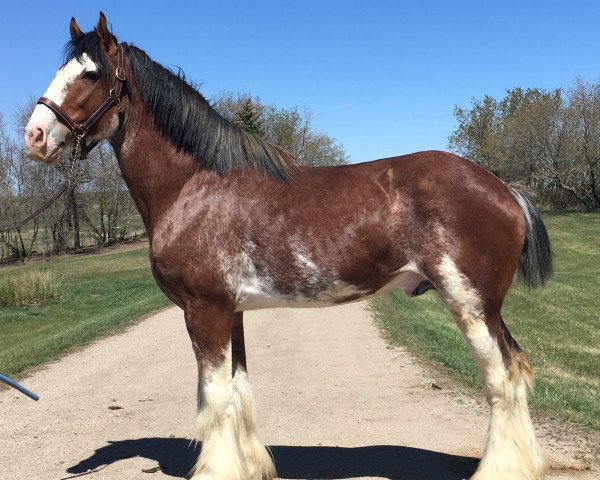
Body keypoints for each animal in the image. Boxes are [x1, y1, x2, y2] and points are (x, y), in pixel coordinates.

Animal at [25, 13, 552, 478]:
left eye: (90, 73)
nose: (35, 136)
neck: (194, 185)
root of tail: (503, 188)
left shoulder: (204, 309)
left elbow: (215, 395)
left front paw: (216, 471)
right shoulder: (231, 311)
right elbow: (237, 390)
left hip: (471, 304)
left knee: (501, 379)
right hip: (487, 309)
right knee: (517, 369)